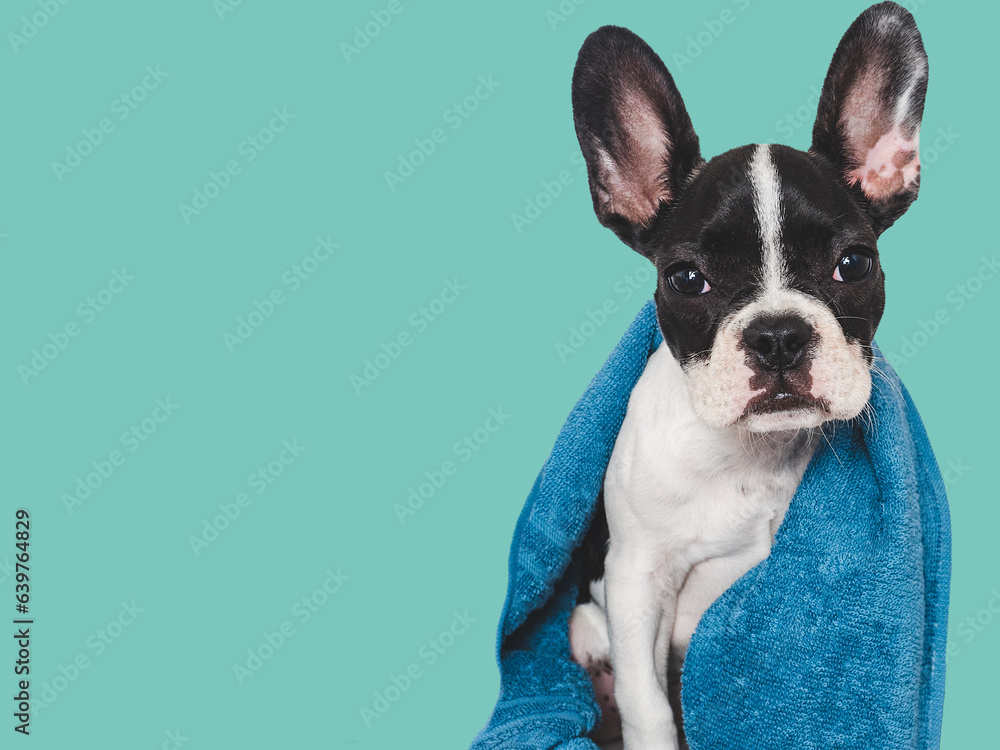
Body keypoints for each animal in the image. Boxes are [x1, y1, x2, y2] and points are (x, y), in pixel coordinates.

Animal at [568, 2, 924, 748]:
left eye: (855, 264)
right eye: (686, 278)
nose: (778, 336)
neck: (749, 456)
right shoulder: (637, 577)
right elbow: (648, 703)